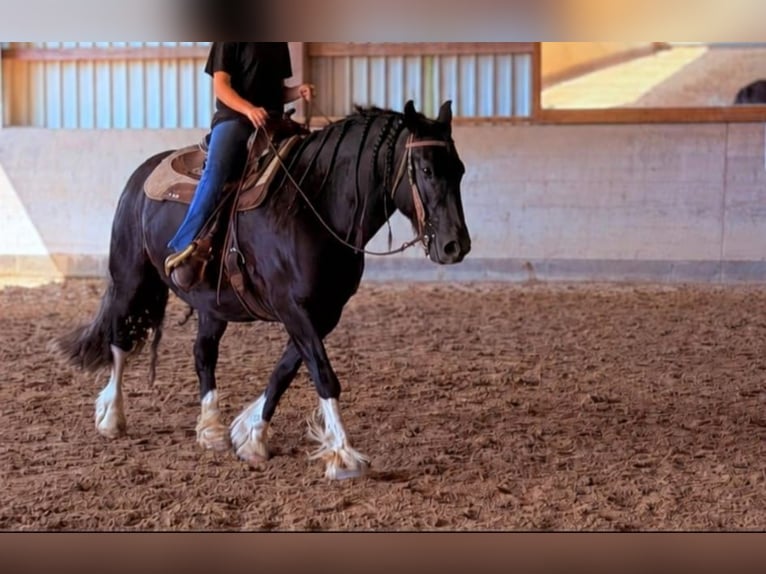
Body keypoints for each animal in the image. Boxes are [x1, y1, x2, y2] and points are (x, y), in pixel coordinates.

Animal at [54, 99, 471, 480]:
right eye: (427, 169)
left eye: (460, 170)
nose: (456, 246)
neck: (316, 203)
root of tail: (141, 175)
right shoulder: (293, 307)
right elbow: (322, 373)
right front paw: (344, 456)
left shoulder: (324, 311)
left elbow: (286, 369)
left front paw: (250, 434)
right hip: (130, 276)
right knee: (120, 339)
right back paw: (111, 416)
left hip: (212, 303)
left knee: (203, 353)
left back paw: (211, 429)